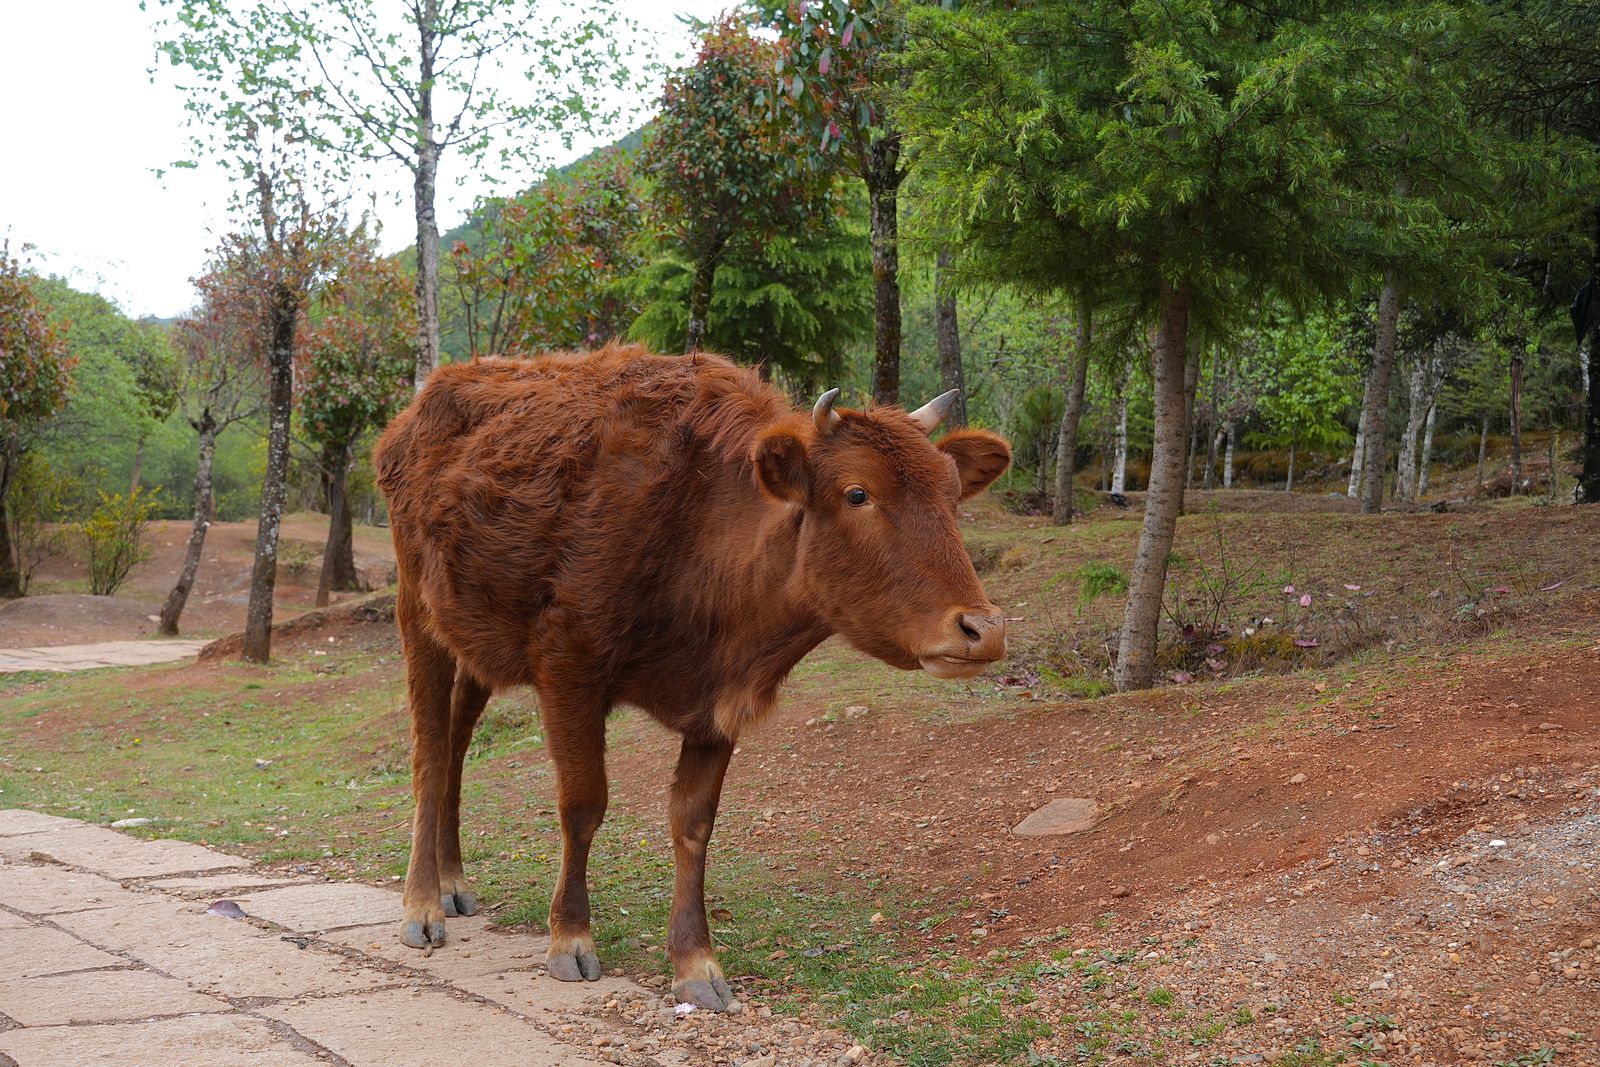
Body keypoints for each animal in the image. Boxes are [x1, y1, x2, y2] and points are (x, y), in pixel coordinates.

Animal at [373, 345, 1011, 1011]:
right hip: (416, 611)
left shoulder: (716, 702)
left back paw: (452, 881)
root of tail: (423, 403)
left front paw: (695, 962)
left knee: (456, 744)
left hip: (475, 643)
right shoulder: (569, 666)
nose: (983, 628)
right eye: (858, 493)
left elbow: (693, 821)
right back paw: (423, 906)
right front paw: (570, 938)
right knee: (430, 751)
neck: (700, 533)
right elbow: (583, 805)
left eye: (953, 494)